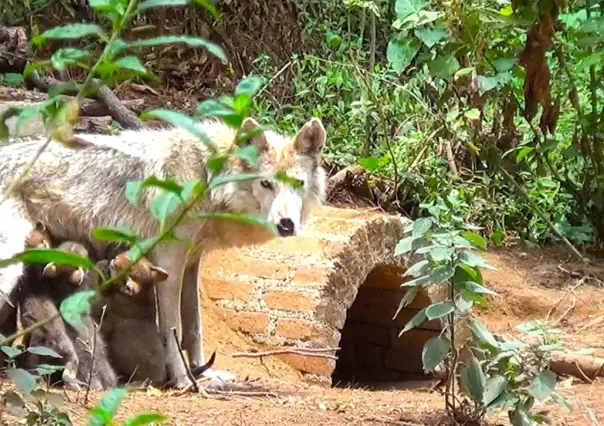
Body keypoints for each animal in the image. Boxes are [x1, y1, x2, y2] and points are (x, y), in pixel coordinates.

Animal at [0, 116, 326, 390]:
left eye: (298, 183)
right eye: (266, 183)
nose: (286, 224)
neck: (208, 177)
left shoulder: (192, 261)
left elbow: (195, 328)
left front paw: (204, 375)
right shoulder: (170, 260)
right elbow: (173, 329)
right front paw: (183, 381)